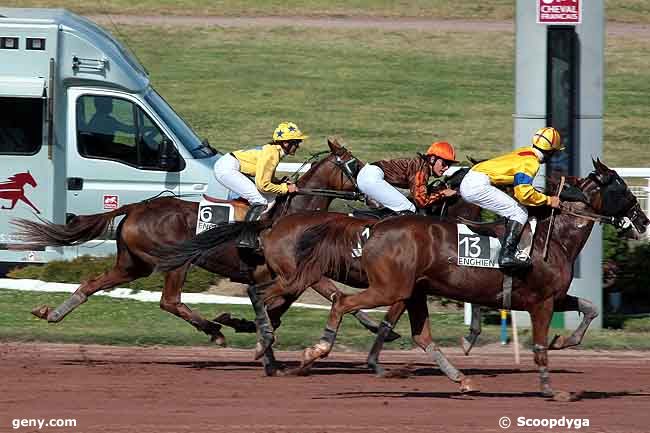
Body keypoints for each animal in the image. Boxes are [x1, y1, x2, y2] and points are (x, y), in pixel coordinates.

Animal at [11, 137, 384, 346]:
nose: (374, 193)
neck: (294, 213)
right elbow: (329, 294)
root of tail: (136, 207)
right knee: (170, 301)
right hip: (176, 260)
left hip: (133, 264)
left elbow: (298, 304)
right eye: (355, 165)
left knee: (91, 284)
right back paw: (213, 330)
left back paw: (52, 313)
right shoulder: (292, 272)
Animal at [292, 160, 644, 396]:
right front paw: (550, 388)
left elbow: (589, 307)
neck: (554, 237)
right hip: (389, 287)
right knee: (342, 301)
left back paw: (461, 378)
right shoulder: (542, 302)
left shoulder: (553, 297)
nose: (643, 220)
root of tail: (376, 227)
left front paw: (564, 340)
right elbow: (539, 346)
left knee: (421, 336)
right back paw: (316, 350)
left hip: (410, 290)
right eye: (620, 187)